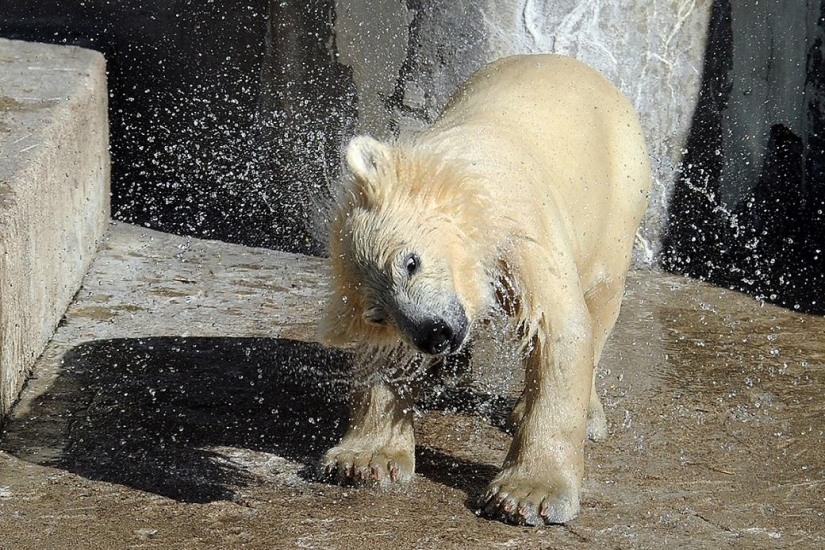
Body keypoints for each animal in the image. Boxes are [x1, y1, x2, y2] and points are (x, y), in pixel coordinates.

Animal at [317, 54, 651, 526]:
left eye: (410, 262)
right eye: (378, 314)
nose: (434, 334)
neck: (459, 181)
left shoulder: (521, 229)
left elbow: (556, 328)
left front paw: (527, 494)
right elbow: (389, 359)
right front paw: (365, 460)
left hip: (617, 194)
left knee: (602, 297)